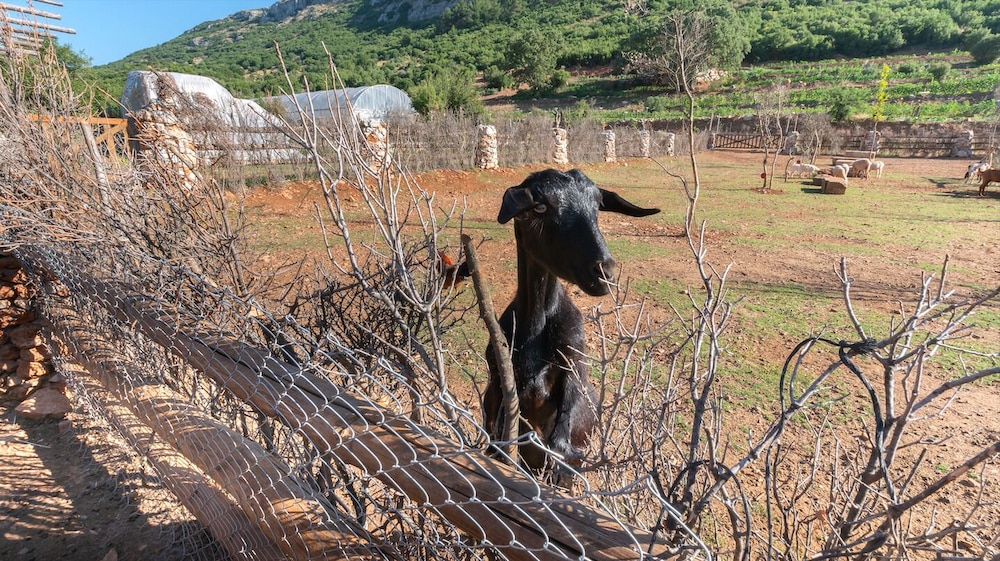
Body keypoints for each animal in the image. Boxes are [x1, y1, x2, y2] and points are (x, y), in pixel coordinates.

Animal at [482, 168, 660, 474]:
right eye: (540, 207)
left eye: (597, 206)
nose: (604, 271)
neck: (536, 327)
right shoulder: (498, 378)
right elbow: (498, 437)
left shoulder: (575, 366)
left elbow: (560, 448)